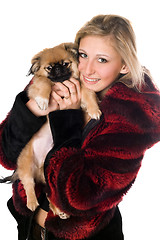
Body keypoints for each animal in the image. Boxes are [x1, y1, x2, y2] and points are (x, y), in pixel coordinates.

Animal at [0, 42, 101, 218]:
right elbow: (44, 83)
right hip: (26, 166)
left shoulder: (80, 86)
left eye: (65, 64)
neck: (60, 82)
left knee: (50, 194)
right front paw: (43, 100)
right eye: (49, 68)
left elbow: (88, 94)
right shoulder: (36, 86)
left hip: (51, 173)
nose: (58, 69)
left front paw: (94, 110)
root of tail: (40, 168)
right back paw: (32, 202)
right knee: (28, 184)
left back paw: (59, 211)